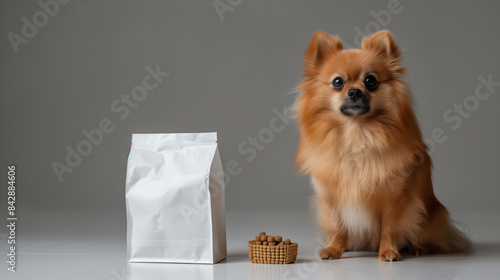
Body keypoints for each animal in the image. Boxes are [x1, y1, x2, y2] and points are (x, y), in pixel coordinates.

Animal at [294, 30, 470, 260]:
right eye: (337, 82)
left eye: (370, 81)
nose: (355, 91)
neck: (357, 135)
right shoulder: (332, 196)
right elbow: (338, 225)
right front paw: (334, 248)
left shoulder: (394, 197)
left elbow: (390, 227)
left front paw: (388, 251)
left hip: (431, 216)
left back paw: (417, 248)